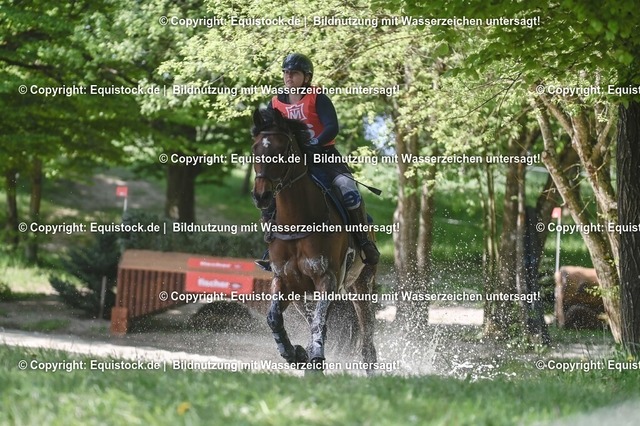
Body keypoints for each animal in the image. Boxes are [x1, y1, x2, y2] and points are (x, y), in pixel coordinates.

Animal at [251, 107, 378, 375]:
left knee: (366, 331)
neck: (298, 221)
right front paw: (296, 354)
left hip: (361, 284)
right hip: (303, 296)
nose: (262, 196)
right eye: (255, 148)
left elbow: (320, 321)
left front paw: (315, 360)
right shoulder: (284, 281)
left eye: (282, 150)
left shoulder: (327, 279)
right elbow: (274, 319)